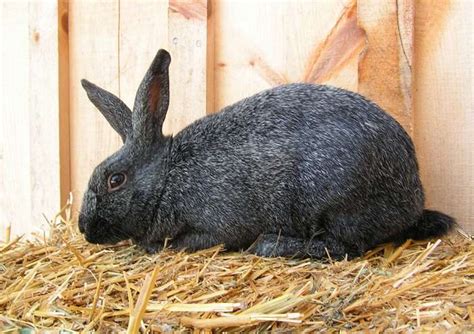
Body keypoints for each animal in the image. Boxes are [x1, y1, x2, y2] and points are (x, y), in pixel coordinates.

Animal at [78, 48, 456, 260]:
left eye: (115, 180)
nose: (83, 228)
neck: (168, 177)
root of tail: (412, 196)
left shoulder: (216, 226)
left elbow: (194, 240)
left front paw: (155, 247)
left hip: (335, 204)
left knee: (345, 247)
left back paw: (271, 245)